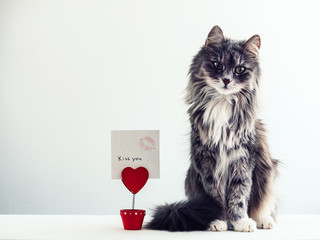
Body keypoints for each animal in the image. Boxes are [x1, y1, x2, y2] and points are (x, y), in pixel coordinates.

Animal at [146, 25, 278, 232]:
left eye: (240, 69)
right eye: (217, 65)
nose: (226, 80)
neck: (222, 103)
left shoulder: (242, 158)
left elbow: (239, 195)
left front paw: (241, 222)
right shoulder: (206, 161)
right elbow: (215, 197)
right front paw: (217, 221)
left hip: (267, 171)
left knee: (265, 204)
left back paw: (263, 220)